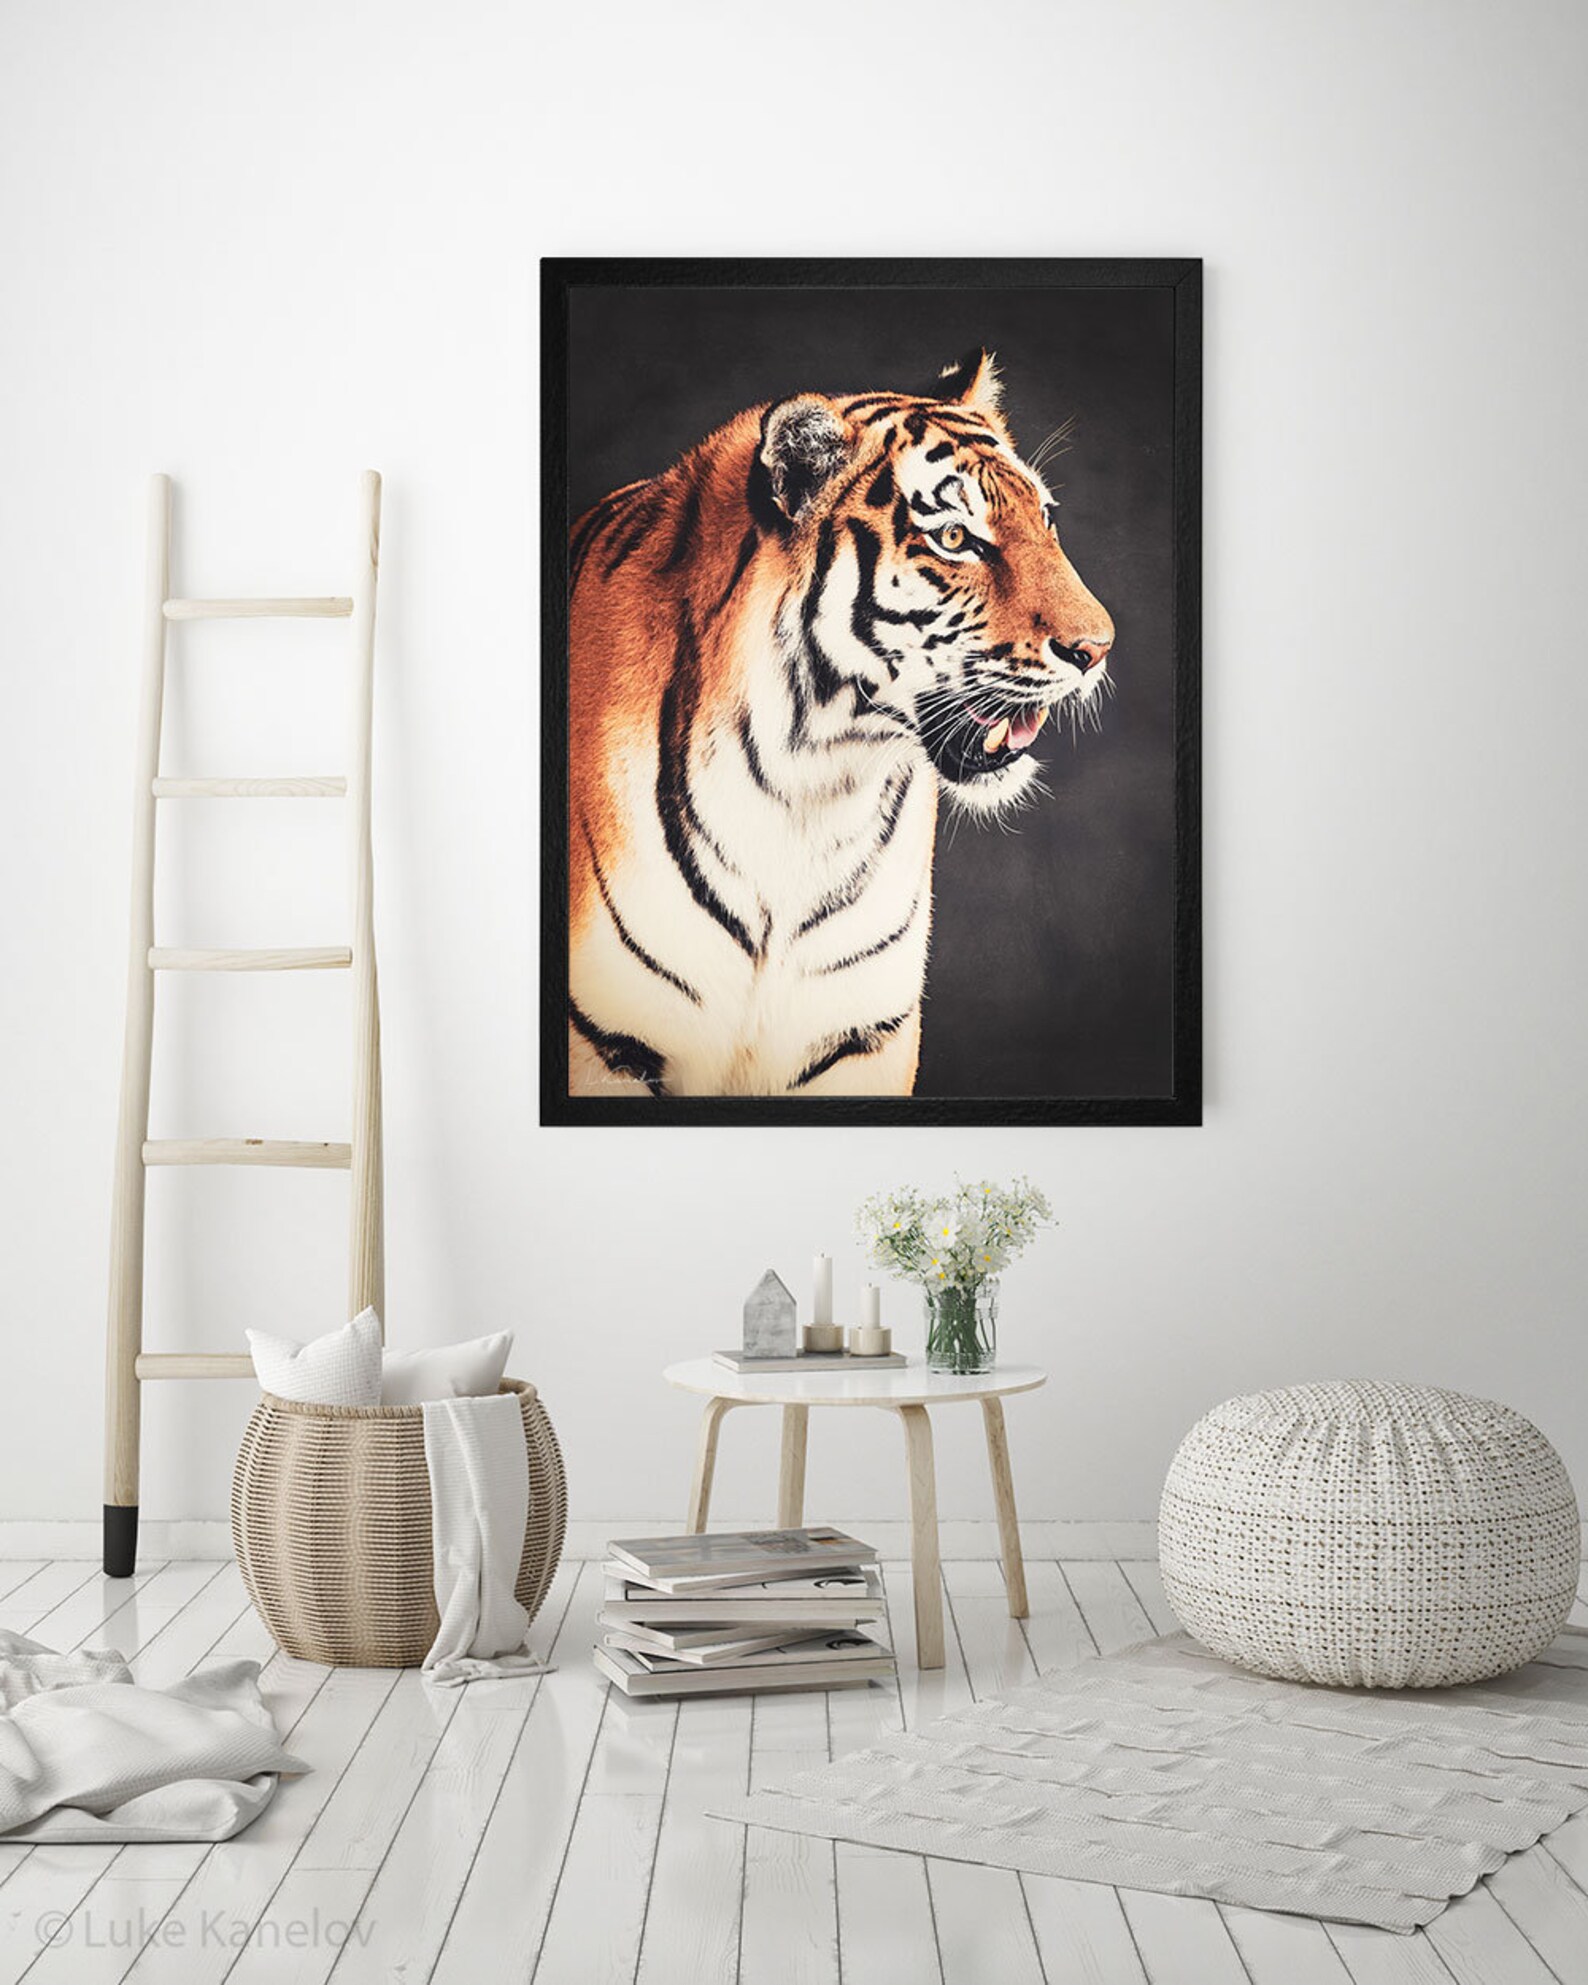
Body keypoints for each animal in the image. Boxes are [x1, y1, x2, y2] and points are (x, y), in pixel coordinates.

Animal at [566, 347, 1115, 1099]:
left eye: (1047, 520)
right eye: (954, 537)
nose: (1099, 648)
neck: (807, 791)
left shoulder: (857, 1038)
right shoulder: (609, 1045)